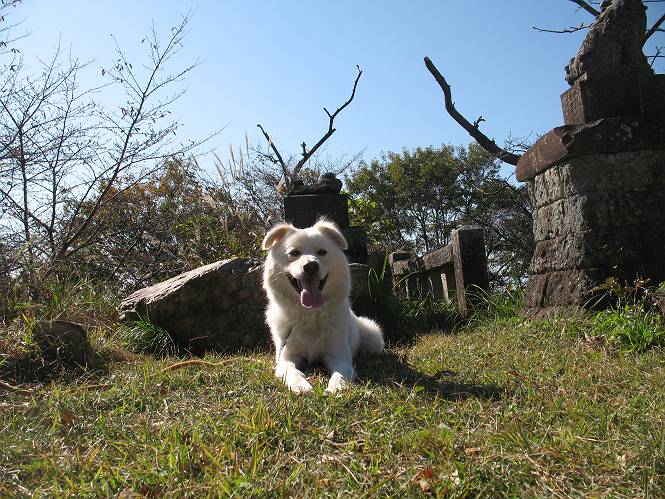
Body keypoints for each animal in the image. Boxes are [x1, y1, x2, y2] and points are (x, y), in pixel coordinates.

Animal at [262, 219, 384, 393]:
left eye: (322, 252)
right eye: (294, 253)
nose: (311, 266)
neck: (310, 314)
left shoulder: (339, 356)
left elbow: (340, 373)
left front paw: (336, 388)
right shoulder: (286, 357)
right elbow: (292, 371)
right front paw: (301, 386)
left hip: (373, 336)